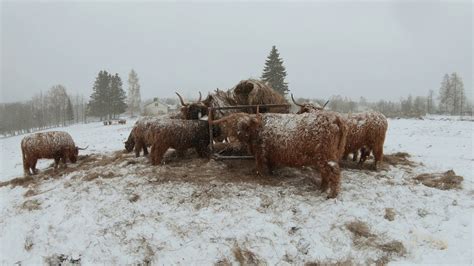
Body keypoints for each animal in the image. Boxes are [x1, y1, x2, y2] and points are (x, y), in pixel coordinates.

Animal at [213, 111, 346, 198]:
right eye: (231, 125)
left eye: (244, 125)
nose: (234, 139)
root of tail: (334, 117)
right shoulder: (270, 153)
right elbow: (271, 165)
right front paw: (272, 174)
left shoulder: (260, 152)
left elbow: (259, 165)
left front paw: (260, 175)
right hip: (325, 156)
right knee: (325, 172)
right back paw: (321, 189)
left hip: (325, 155)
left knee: (333, 171)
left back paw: (331, 194)